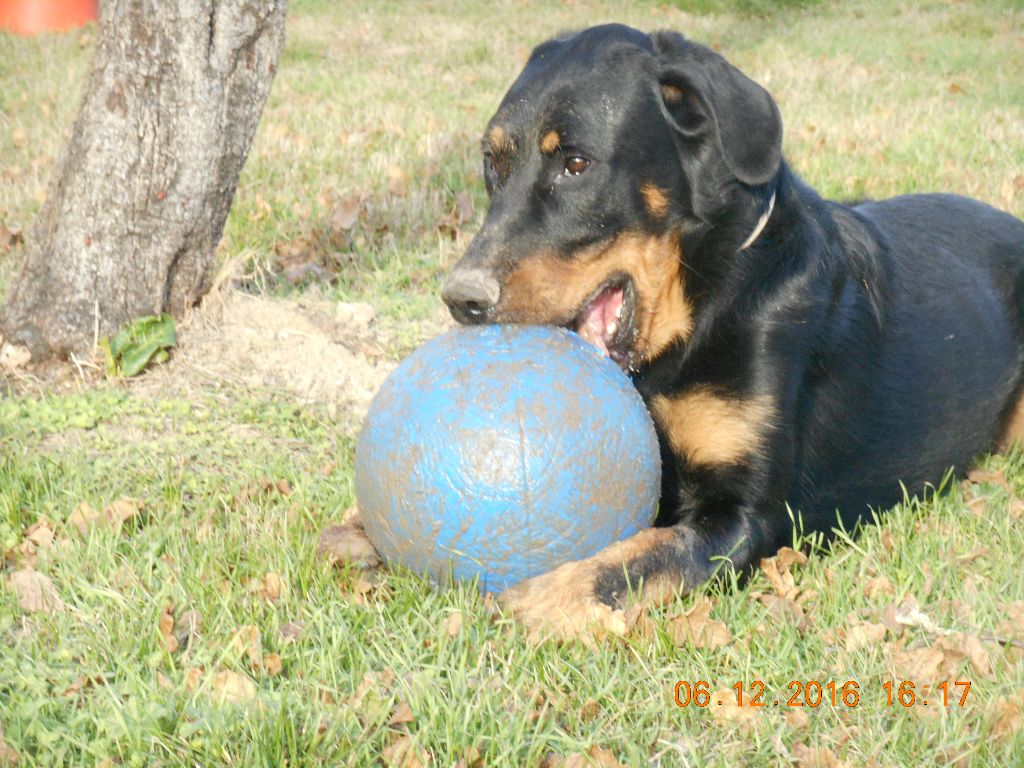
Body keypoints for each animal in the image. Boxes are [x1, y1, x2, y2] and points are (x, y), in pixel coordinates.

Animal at [428, 22, 1024, 638]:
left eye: (575, 163)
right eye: (492, 165)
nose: (462, 298)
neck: (703, 300)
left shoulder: (745, 517)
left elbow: (637, 560)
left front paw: (539, 600)